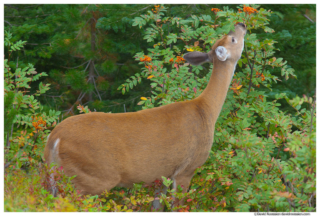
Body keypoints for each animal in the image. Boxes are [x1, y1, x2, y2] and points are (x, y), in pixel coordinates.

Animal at [43, 22, 246, 210]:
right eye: (232, 39)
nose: (241, 25)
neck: (206, 110)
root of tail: (54, 138)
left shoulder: (161, 174)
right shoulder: (186, 169)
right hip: (90, 177)